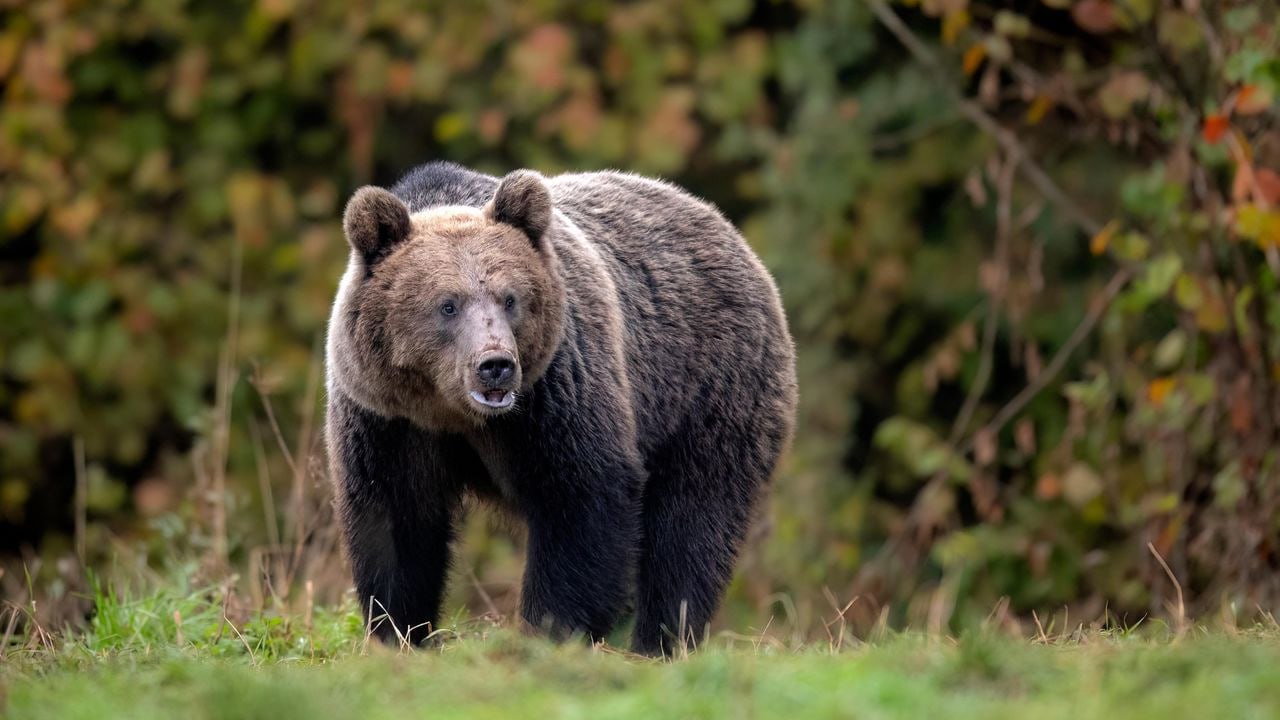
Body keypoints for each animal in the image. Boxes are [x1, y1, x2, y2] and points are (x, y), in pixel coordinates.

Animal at [325, 161, 797, 656]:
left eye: (510, 298)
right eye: (447, 305)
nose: (496, 366)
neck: (455, 414)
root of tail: (728, 230)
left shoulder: (556, 393)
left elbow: (581, 497)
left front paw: (548, 629)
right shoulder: (388, 419)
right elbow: (395, 521)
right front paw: (399, 632)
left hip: (706, 389)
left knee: (691, 522)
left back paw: (660, 639)